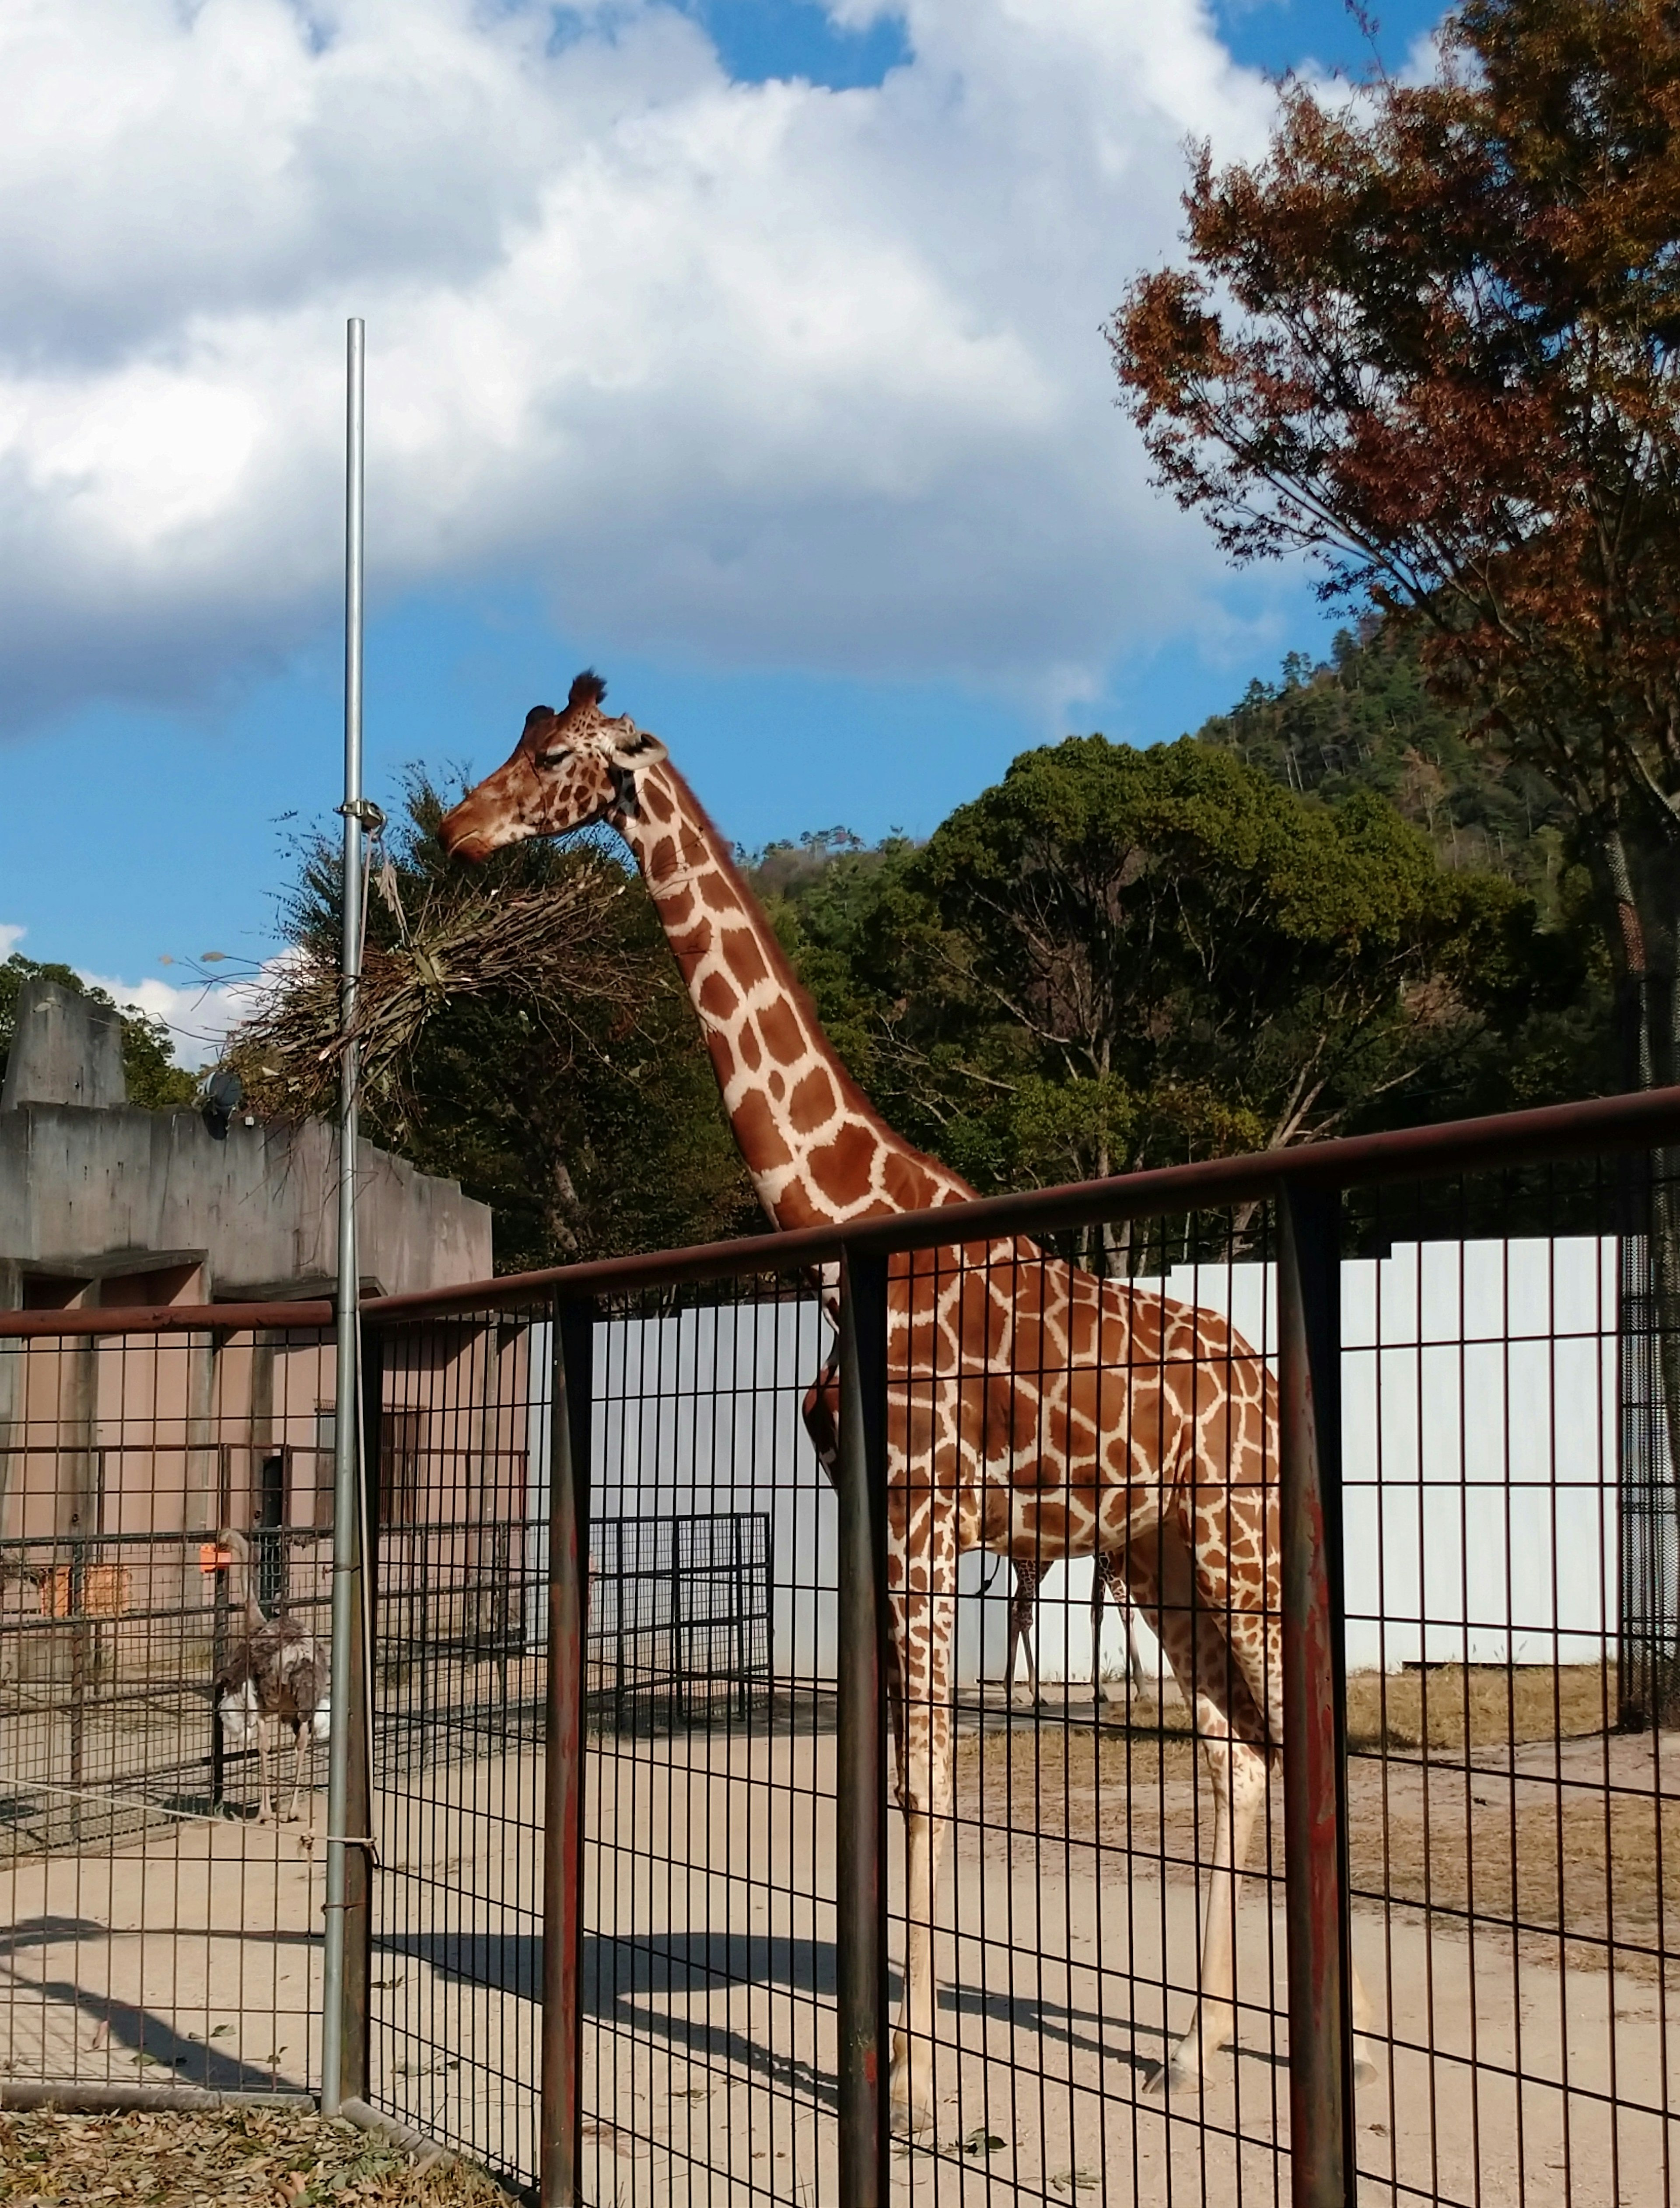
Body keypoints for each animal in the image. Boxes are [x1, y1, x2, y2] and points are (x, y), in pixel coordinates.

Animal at [433, 667, 1360, 2120]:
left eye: (560, 756)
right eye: (517, 741)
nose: (455, 830)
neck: (837, 1235)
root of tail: (1269, 1387)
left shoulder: (927, 1522)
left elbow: (928, 1772)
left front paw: (916, 2078)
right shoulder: (871, 1522)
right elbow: (876, 1773)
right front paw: (882, 2052)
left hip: (1240, 1537)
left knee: (1304, 1732)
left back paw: (1345, 2048)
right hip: (1158, 1555)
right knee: (1237, 1749)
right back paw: (1189, 2044)